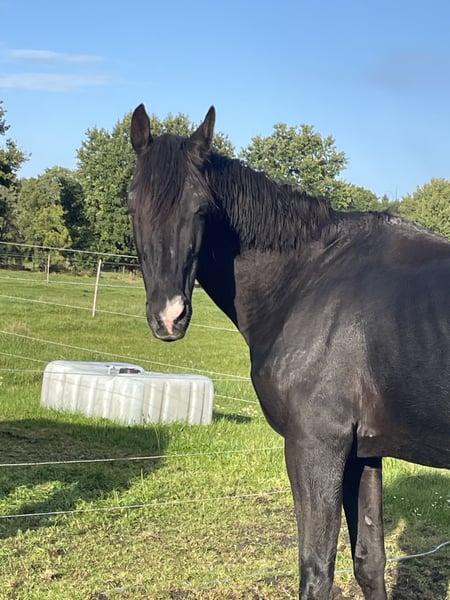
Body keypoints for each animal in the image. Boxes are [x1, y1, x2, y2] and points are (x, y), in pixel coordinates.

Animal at [128, 103, 450, 600]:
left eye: (201, 209)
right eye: (131, 203)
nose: (169, 315)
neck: (309, 278)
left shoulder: (316, 446)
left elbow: (316, 572)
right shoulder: (362, 452)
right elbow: (370, 562)